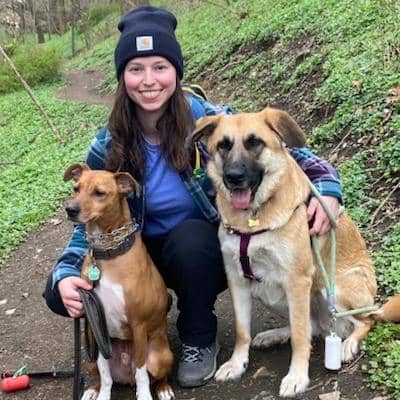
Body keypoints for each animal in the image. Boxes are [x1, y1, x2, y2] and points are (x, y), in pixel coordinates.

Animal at [64, 163, 174, 400]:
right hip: (89, 361)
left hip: (161, 356)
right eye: (76, 188)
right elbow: (106, 375)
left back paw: (163, 389)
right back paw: (92, 390)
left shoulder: (138, 326)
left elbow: (142, 373)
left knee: (155, 375)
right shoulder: (96, 327)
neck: (107, 253)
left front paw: (144, 396)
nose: (70, 209)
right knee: (101, 372)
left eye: (99, 192)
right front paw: (103, 395)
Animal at [190, 107, 400, 397]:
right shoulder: (238, 279)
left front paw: (297, 376)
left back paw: (348, 344)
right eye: (223, 145)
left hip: (334, 288)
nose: (233, 177)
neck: (253, 217)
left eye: (254, 142)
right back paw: (276, 334)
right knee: (311, 327)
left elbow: (301, 338)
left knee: (363, 321)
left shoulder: (297, 280)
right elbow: (244, 331)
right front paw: (236, 363)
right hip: (268, 290)